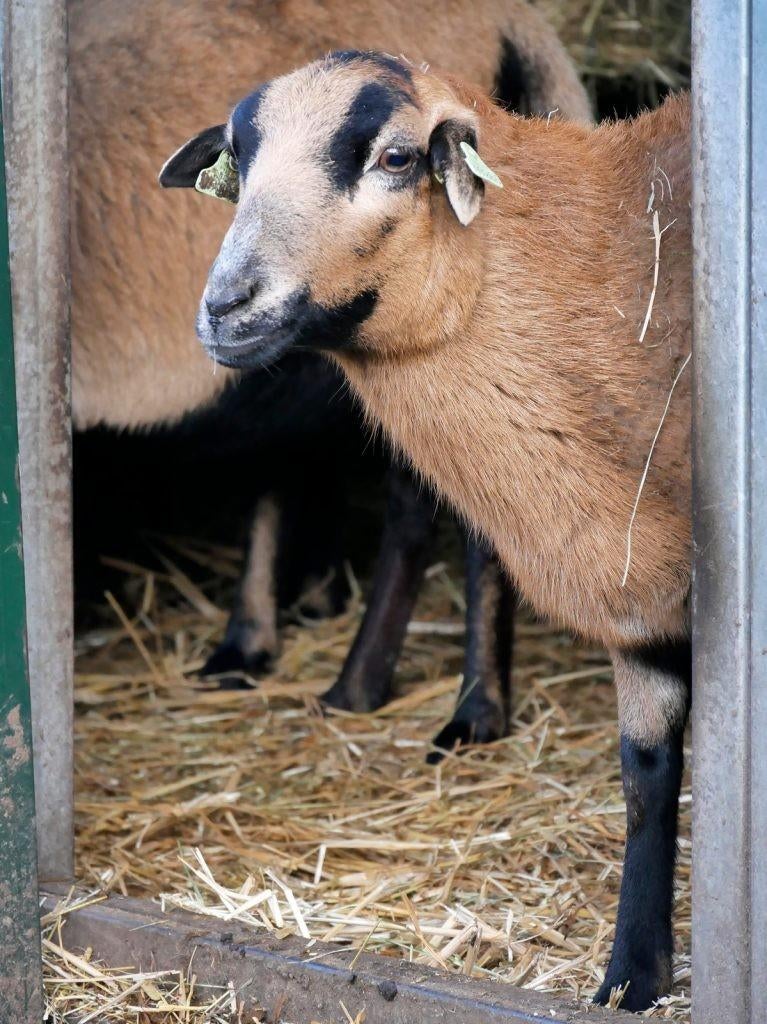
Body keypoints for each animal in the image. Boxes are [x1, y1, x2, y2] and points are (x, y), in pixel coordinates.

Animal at [70, 0, 588, 751]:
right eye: (234, 164)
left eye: (397, 158)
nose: (224, 305)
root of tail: (516, 22)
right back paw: (305, 662)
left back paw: (461, 708)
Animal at [163, 53, 691, 1009]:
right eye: (236, 160)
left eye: (397, 158)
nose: (225, 307)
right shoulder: (633, 574)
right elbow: (644, 771)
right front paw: (632, 976)